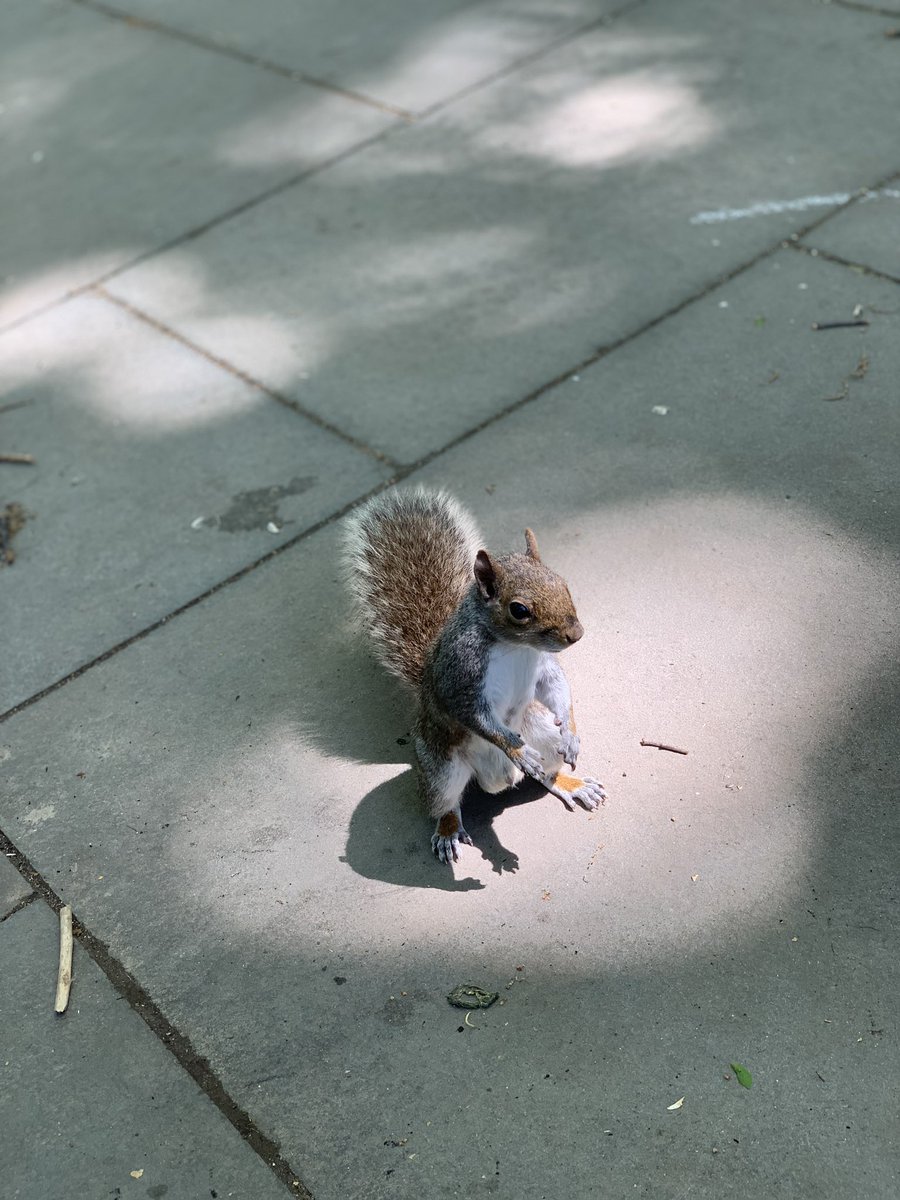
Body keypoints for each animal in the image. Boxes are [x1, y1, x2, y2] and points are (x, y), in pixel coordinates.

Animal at [343, 488, 606, 864]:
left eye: (562, 583)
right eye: (519, 610)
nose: (576, 634)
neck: (514, 647)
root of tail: (494, 780)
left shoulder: (542, 667)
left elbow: (556, 689)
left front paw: (570, 733)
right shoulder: (460, 677)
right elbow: (476, 716)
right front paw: (516, 751)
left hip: (539, 729)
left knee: (546, 774)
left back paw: (571, 784)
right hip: (441, 769)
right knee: (446, 804)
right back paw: (449, 830)